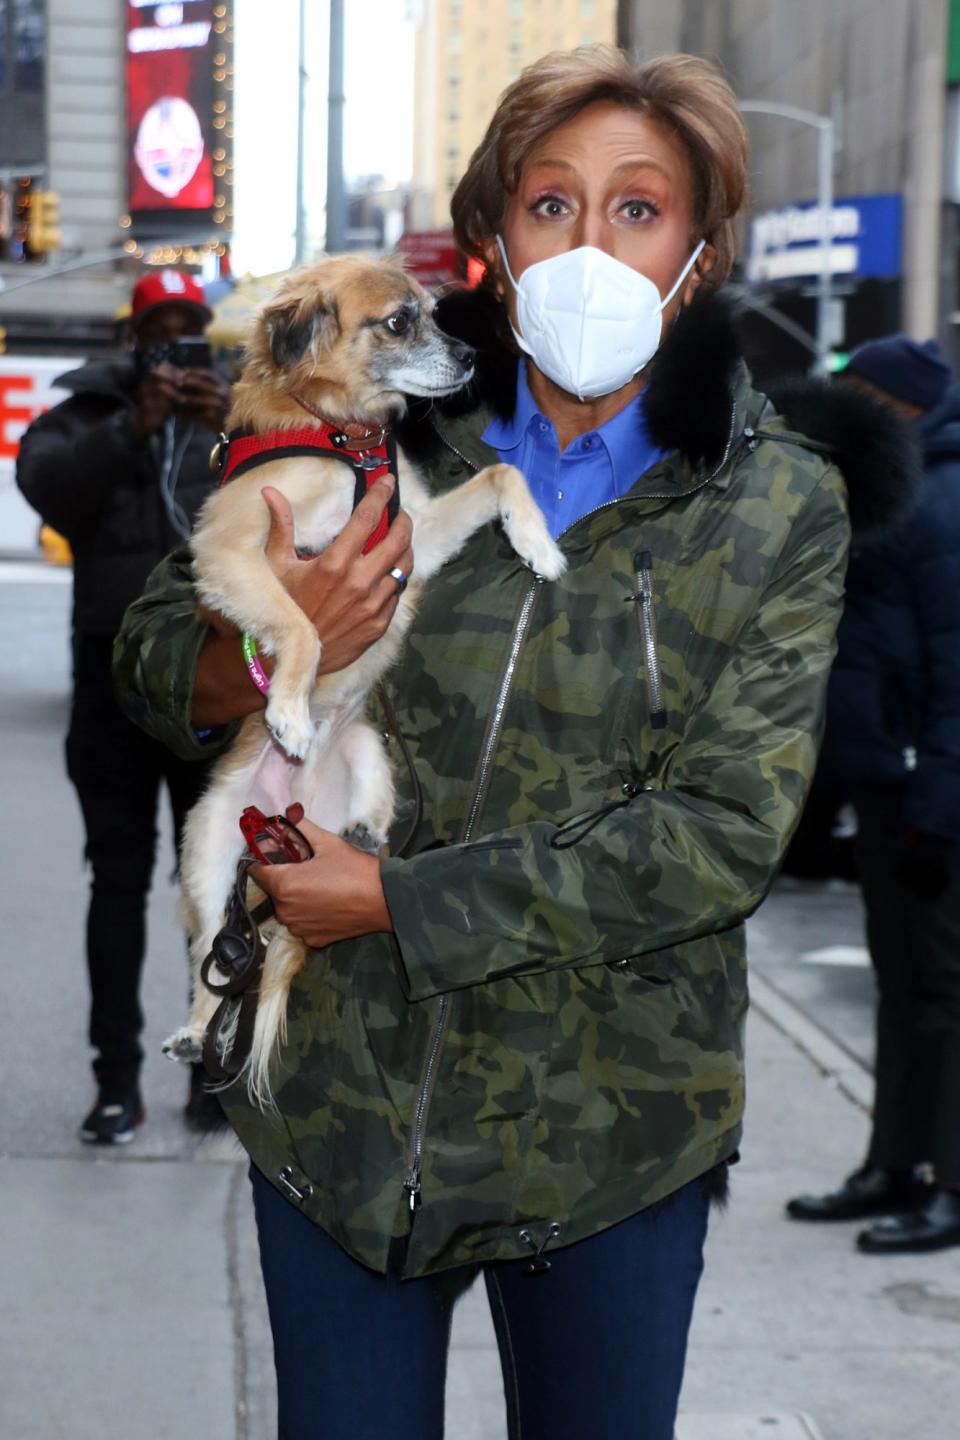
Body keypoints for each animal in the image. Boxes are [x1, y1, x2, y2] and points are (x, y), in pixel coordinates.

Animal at [165, 256, 564, 1100]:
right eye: (398, 323)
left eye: (435, 313)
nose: (474, 357)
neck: (341, 437)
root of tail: (287, 816)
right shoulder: (228, 554)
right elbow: (302, 625)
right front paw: (286, 707)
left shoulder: (412, 533)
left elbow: (502, 476)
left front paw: (538, 544)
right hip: (210, 856)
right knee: (212, 954)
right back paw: (192, 1030)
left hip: (368, 751)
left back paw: (363, 834)